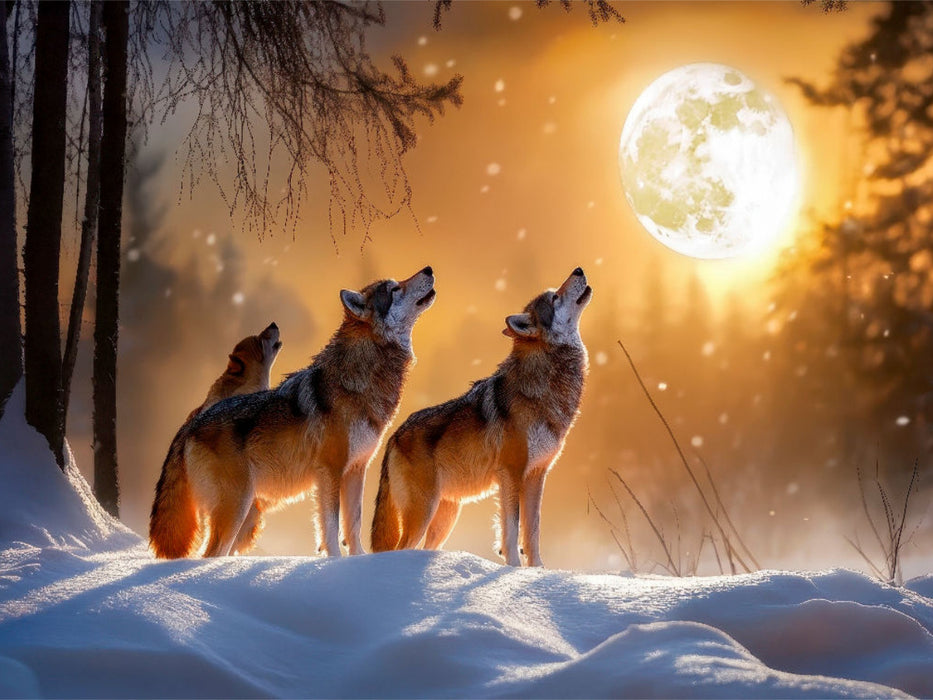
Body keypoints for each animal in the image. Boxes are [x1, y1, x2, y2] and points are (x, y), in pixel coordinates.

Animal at [371, 268, 591, 567]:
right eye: (555, 298)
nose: (578, 270)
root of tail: (393, 436)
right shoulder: (511, 474)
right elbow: (511, 531)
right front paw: (514, 568)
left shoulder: (536, 476)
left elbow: (532, 532)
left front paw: (537, 571)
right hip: (424, 512)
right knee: (400, 548)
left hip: (445, 517)